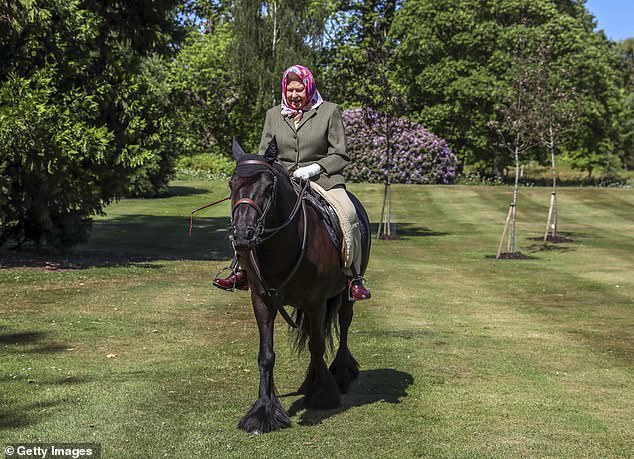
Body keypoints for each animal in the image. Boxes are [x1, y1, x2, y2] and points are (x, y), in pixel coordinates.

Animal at [227, 138, 368, 434]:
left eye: (268, 188)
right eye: (232, 185)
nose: (243, 235)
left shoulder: (316, 303)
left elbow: (317, 346)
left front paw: (322, 395)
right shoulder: (262, 300)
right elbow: (266, 355)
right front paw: (264, 412)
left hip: (346, 295)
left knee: (344, 326)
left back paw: (340, 374)